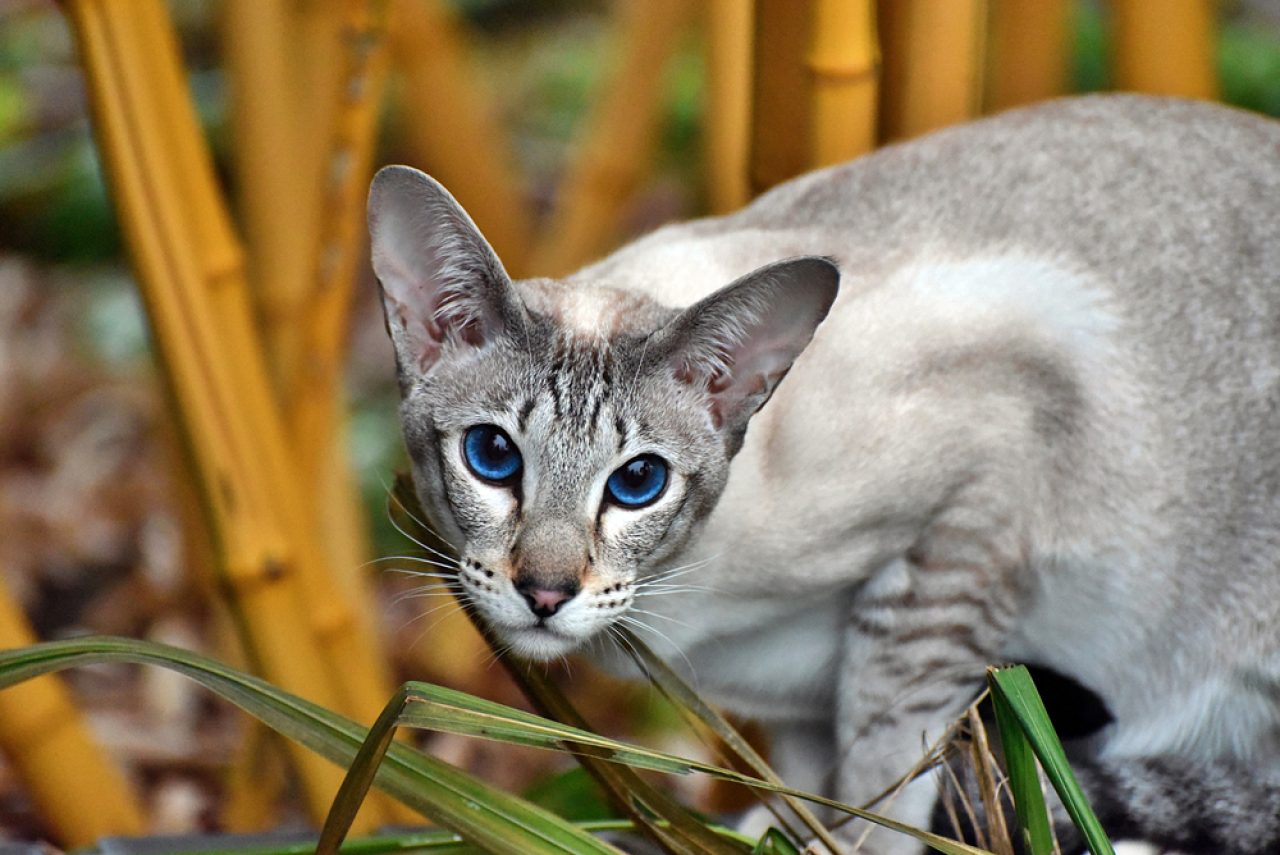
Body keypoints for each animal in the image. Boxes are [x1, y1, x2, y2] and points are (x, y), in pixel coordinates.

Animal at [368, 95, 1280, 855]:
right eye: (493, 456)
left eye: (637, 483)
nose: (546, 593)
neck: (686, 618)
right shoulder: (796, 715)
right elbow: (809, 792)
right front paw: (774, 834)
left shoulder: (970, 514)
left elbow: (884, 778)